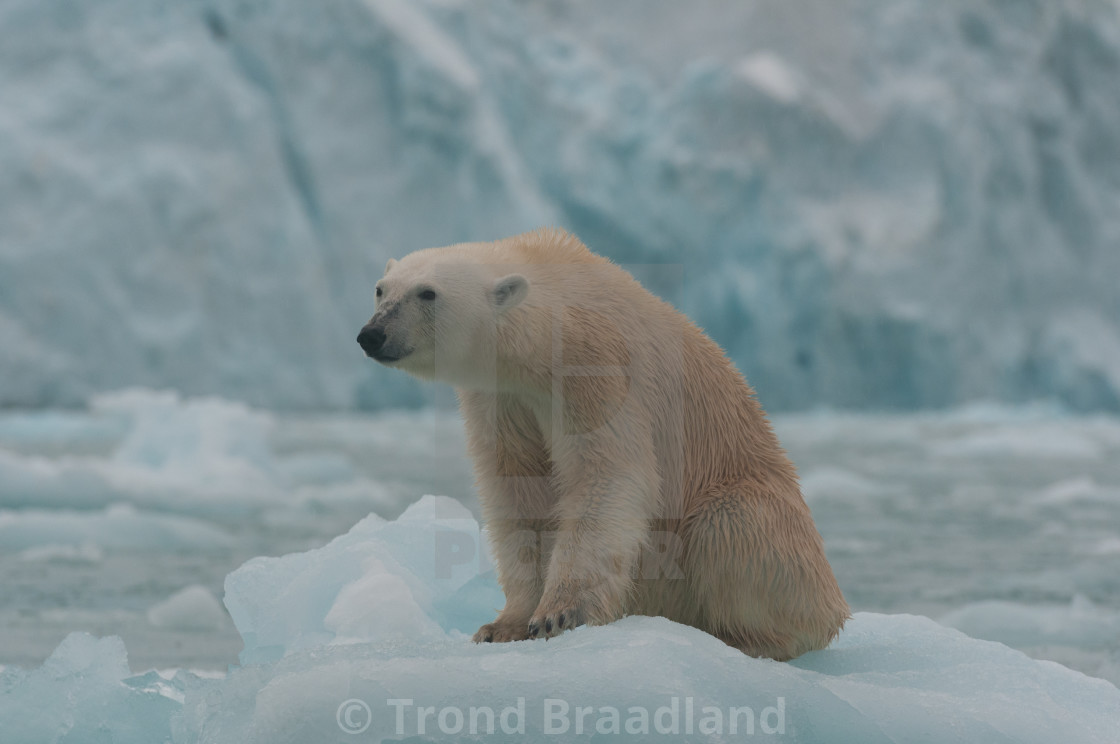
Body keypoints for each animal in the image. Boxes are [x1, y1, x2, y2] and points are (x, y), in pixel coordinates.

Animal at [358, 229, 846, 658]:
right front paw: (501, 625)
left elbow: (607, 475)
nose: (371, 335)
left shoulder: (596, 366)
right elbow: (518, 487)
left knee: (728, 526)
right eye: (381, 290)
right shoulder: (504, 397)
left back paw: (745, 640)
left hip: (759, 511)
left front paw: (559, 614)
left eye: (428, 293)